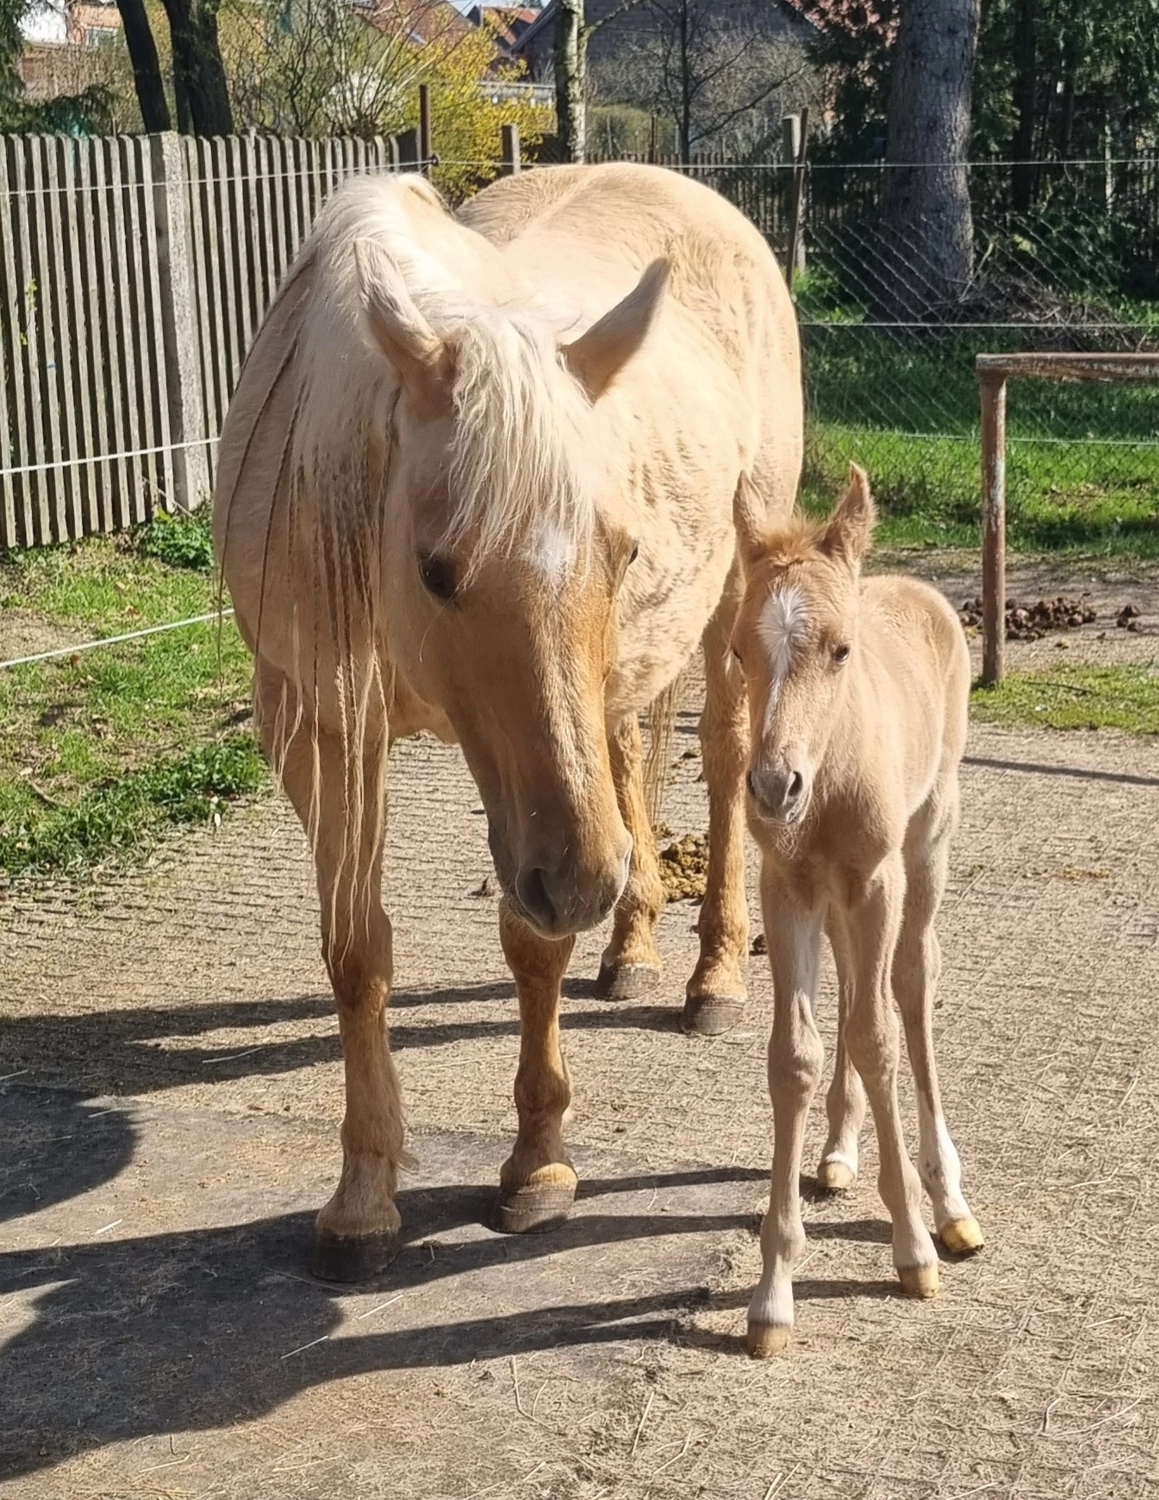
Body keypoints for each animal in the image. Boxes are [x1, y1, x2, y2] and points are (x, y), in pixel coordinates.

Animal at [213, 163, 802, 1281]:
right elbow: (355, 952)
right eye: (439, 569)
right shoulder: (319, 731)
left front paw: (537, 1164)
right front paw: (363, 1198)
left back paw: (710, 975)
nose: (583, 884)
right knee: (624, 755)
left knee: (725, 769)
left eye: (621, 550)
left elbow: (532, 949)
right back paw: (632, 944)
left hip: (736, 595)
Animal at [729, 466, 983, 1356]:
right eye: (736, 651)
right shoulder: (787, 884)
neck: (829, 767)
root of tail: (914, 587)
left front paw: (911, 1247)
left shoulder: (874, 878)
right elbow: (794, 1056)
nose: (773, 788)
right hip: (838, 894)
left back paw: (949, 1200)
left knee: (910, 982)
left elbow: (878, 1038)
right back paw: (838, 1150)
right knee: (851, 981)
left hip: (928, 839)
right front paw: (772, 1293)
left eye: (840, 649)